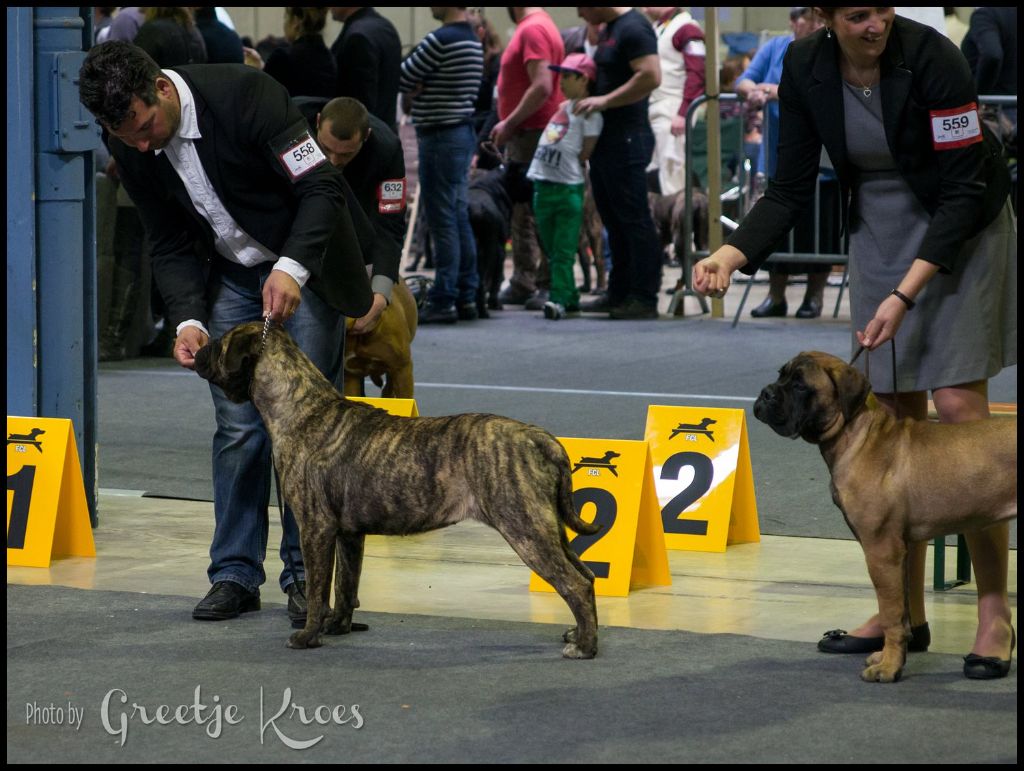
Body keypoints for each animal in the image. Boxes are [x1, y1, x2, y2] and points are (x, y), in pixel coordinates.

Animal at [192, 321, 598, 659]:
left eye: (219, 343)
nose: (195, 348)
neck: (303, 410)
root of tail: (539, 437)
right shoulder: (349, 534)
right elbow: (345, 585)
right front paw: (338, 627)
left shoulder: (315, 527)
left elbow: (319, 589)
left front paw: (308, 635)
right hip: (548, 527)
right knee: (587, 576)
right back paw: (579, 635)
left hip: (525, 528)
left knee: (574, 583)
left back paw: (585, 647)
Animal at [753, 352, 1015, 683]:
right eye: (781, 375)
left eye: (800, 385)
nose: (765, 393)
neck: (858, 434)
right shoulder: (897, 551)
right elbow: (900, 613)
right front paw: (890, 656)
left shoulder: (881, 551)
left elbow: (890, 615)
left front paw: (888, 668)